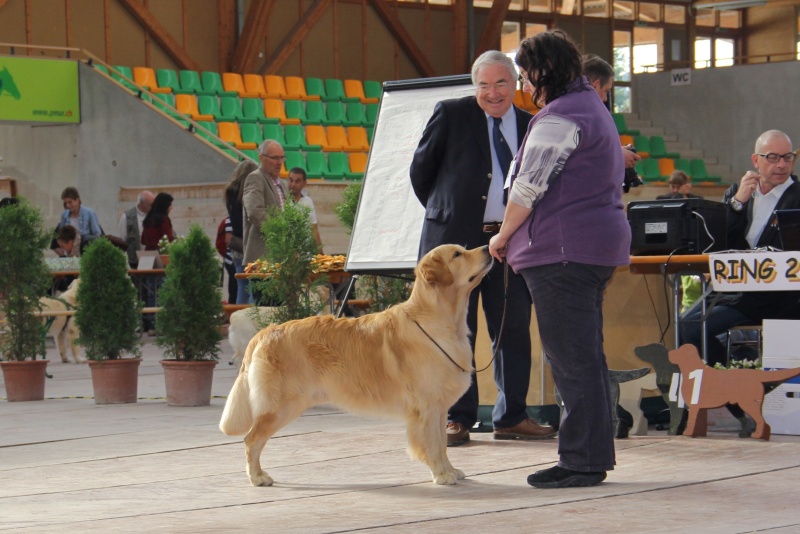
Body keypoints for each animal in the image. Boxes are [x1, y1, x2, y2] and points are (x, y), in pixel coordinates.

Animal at [220, 245, 494, 488]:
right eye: (457, 254)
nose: (488, 248)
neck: (440, 320)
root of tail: (266, 332)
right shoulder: (427, 407)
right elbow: (434, 445)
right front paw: (441, 475)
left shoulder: (438, 408)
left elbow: (442, 444)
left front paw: (450, 470)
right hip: (281, 405)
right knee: (251, 439)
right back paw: (257, 477)